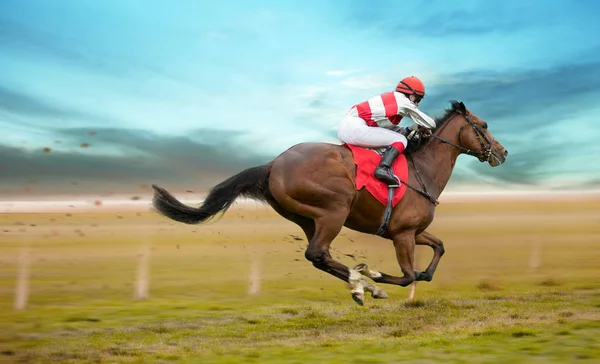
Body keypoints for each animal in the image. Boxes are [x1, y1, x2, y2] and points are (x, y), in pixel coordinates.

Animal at [152, 99, 508, 304]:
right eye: (484, 125)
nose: (503, 152)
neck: (423, 170)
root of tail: (273, 164)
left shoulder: (412, 231)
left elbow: (438, 250)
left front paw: (387, 278)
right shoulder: (403, 234)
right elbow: (408, 275)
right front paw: (377, 276)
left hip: (308, 219)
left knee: (318, 256)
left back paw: (359, 284)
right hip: (334, 211)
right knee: (318, 253)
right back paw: (363, 283)